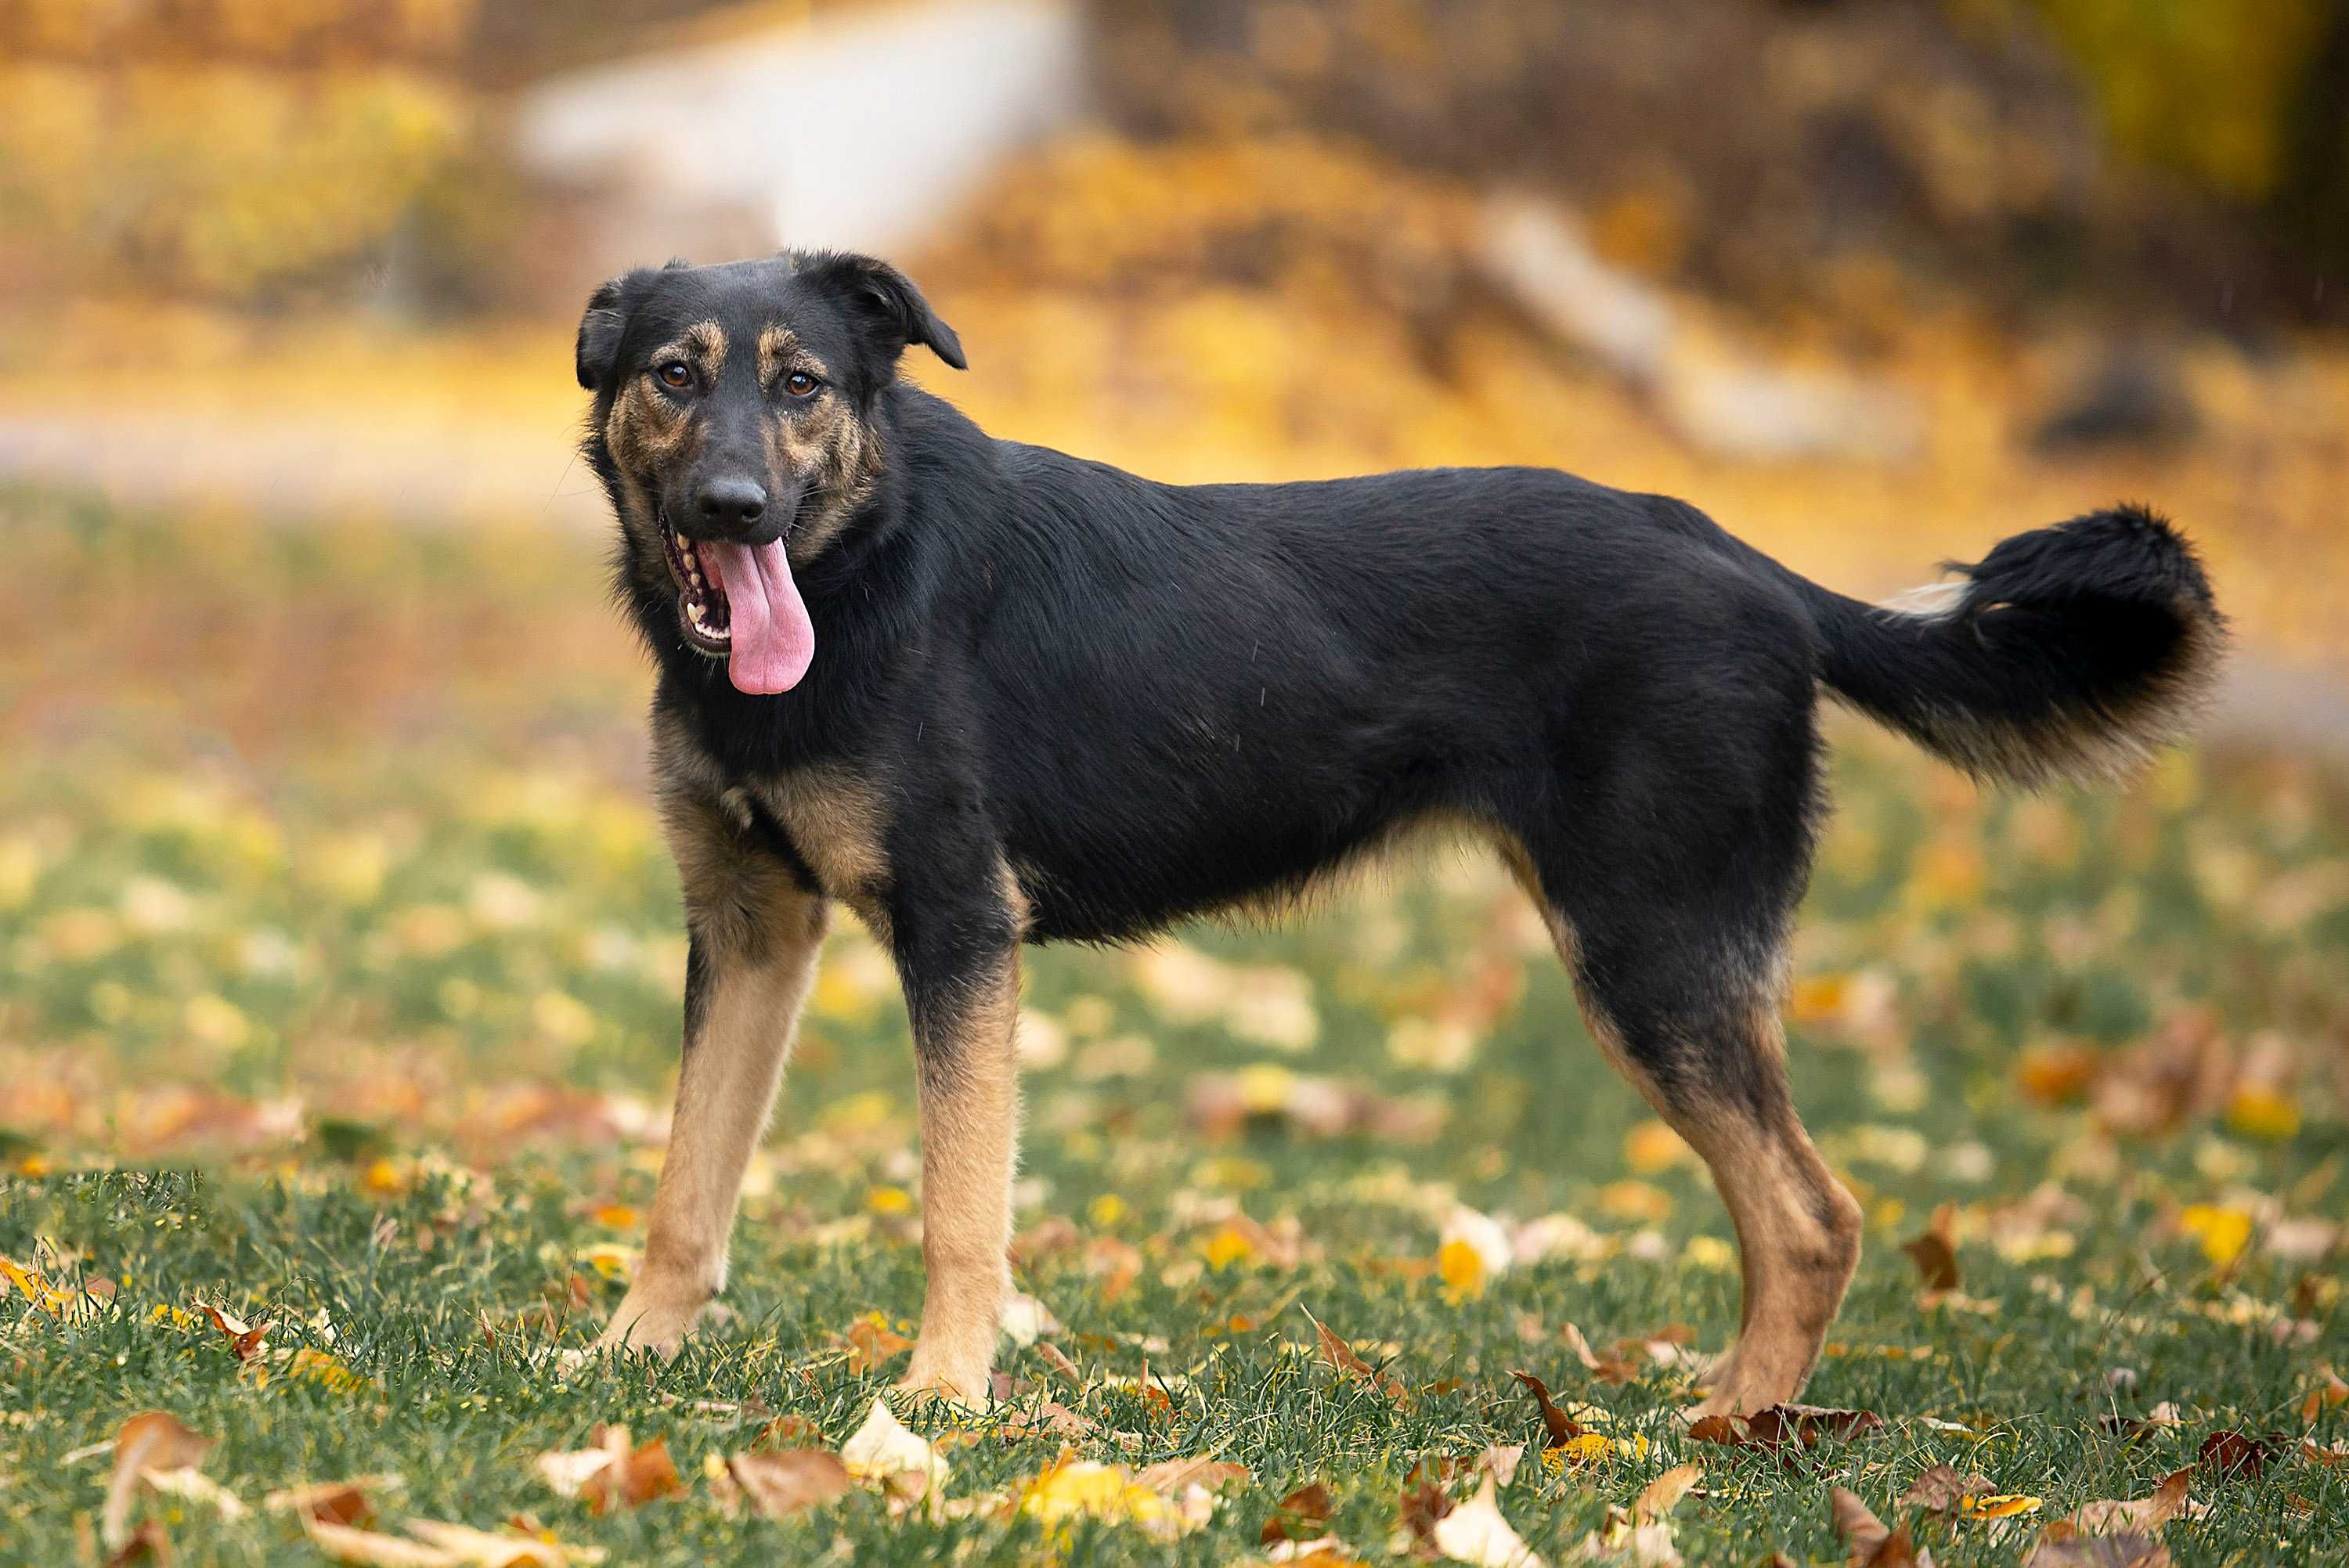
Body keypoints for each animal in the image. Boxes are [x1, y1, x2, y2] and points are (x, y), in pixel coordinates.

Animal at [578, 254, 2227, 1408]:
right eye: (674, 375)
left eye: (803, 384)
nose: (733, 506)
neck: (860, 571)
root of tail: (1746, 561)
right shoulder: (750, 929)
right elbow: (686, 1182)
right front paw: (628, 1360)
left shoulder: (960, 930)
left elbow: (957, 1206)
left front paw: (937, 1403)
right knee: (1790, 1219)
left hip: (1652, 955)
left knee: (1815, 1217)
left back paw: (1726, 1432)